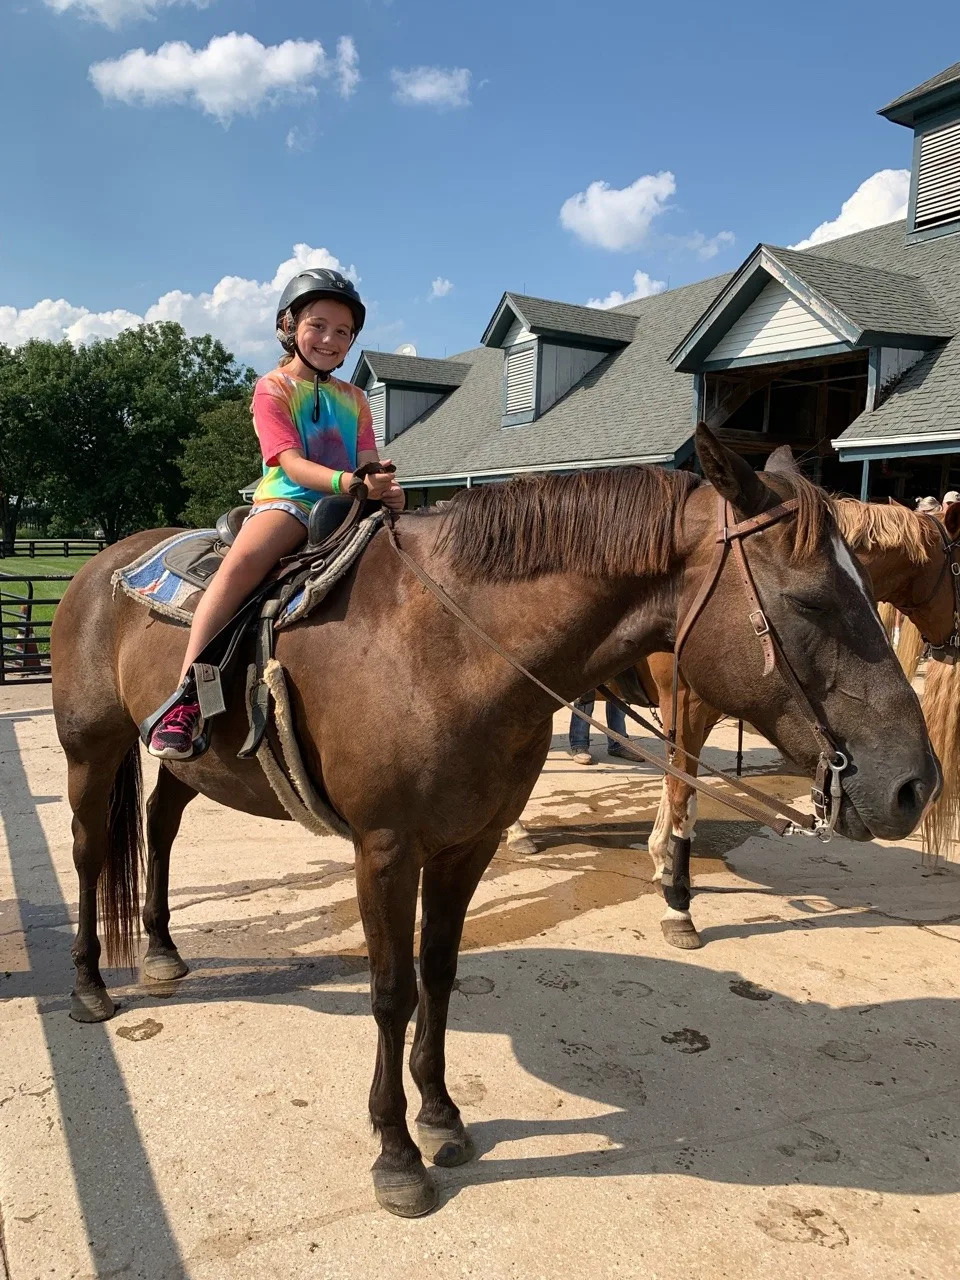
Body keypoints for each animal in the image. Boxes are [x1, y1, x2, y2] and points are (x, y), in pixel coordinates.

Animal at [508, 451, 960, 950]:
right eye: (959, 565)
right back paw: (517, 831)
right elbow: (683, 796)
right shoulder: (684, 706)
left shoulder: (701, 713)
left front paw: (662, 861)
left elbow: (680, 789)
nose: (921, 788)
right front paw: (678, 904)